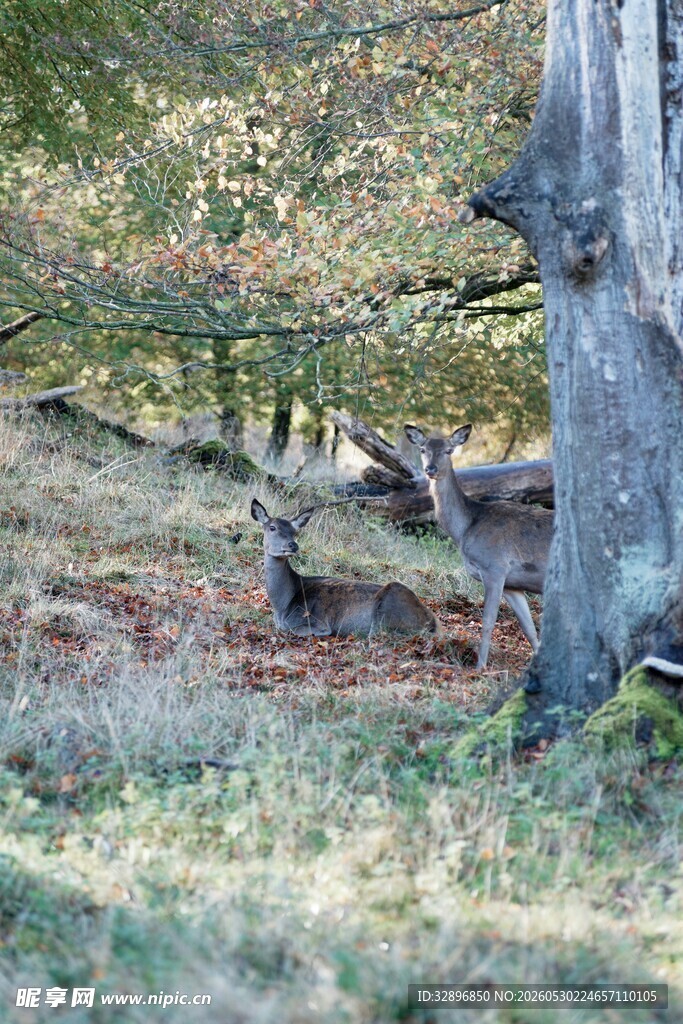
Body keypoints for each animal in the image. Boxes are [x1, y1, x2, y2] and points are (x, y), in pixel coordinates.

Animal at [250, 498, 440, 637]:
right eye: (272, 527)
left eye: (294, 531)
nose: (292, 545)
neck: (282, 606)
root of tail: (432, 621)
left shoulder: (319, 623)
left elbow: (290, 630)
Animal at [404, 424, 554, 669]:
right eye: (423, 449)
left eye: (449, 450)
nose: (430, 469)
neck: (466, 528)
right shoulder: (513, 584)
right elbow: (529, 629)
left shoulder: (494, 567)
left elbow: (487, 622)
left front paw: (480, 667)